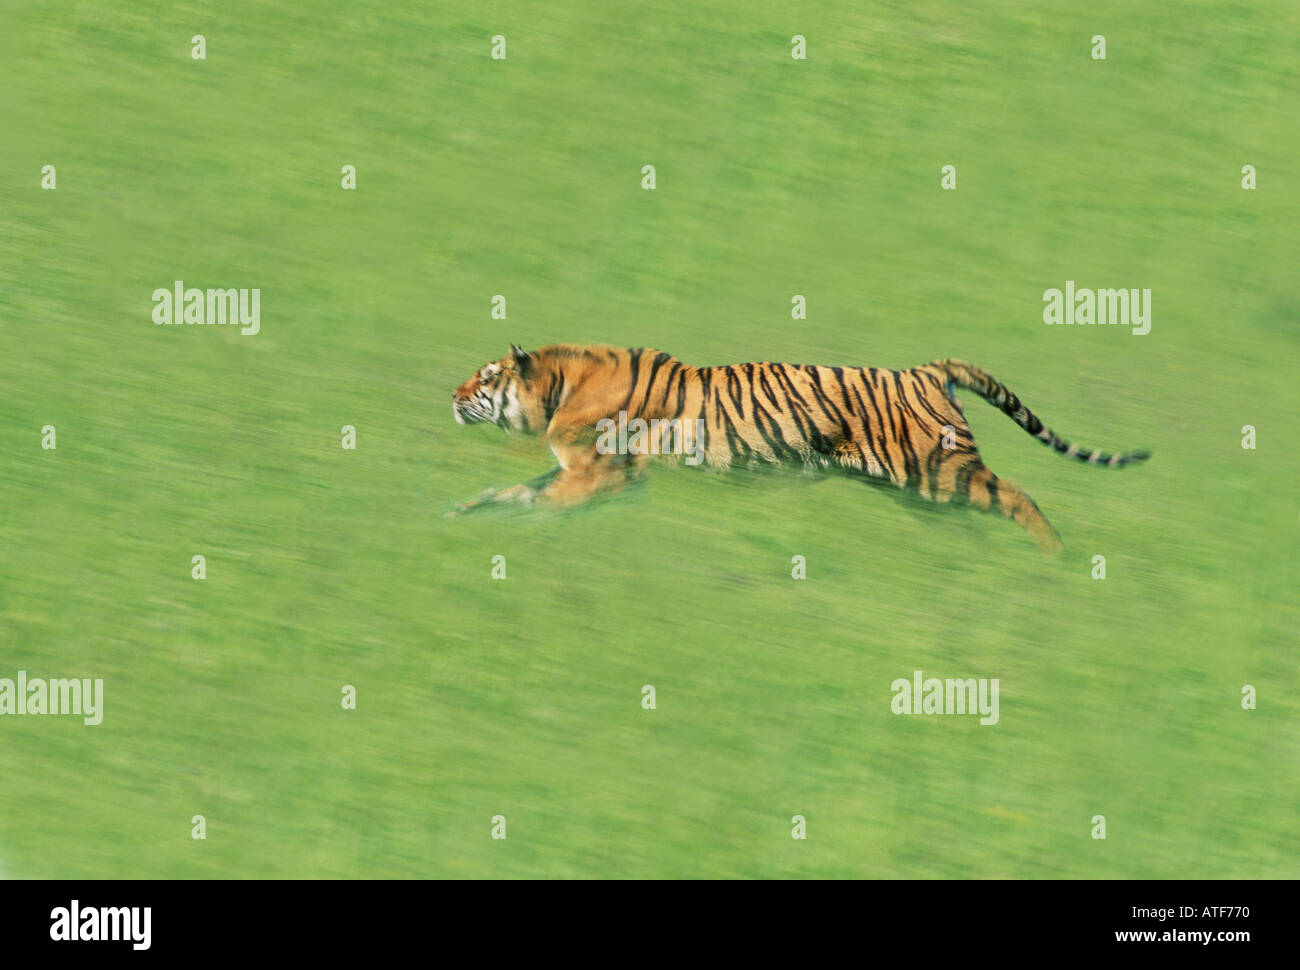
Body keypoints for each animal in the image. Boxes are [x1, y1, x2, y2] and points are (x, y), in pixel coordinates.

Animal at [449, 344, 1150, 552]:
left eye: (486, 378)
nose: (450, 393)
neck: (560, 388)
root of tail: (927, 370)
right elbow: (514, 491)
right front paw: (461, 511)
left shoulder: (607, 472)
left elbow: (544, 502)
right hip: (927, 492)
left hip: (937, 473)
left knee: (1017, 494)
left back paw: (1055, 561)